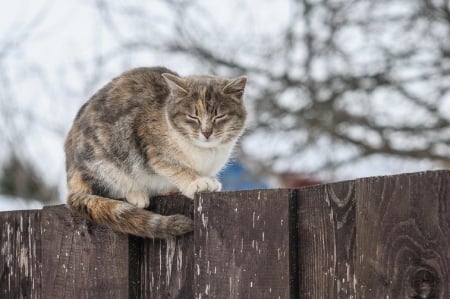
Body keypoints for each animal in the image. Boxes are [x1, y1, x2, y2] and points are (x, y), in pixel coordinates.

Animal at [63, 66, 248, 239]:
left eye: (219, 116)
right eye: (193, 117)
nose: (206, 132)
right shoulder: (152, 148)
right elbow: (175, 168)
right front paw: (196, 182)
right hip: (101, 156)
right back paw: (136, 193)